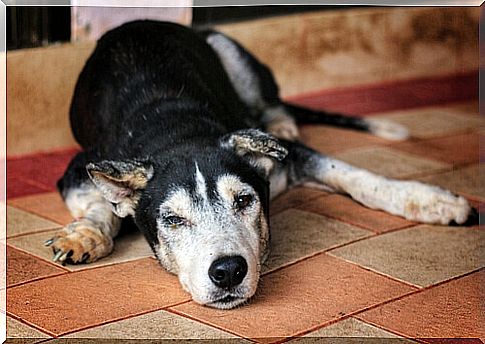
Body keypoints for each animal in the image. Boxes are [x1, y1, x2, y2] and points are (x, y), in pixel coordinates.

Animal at [43, 21, 474, 310]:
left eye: (244, 201)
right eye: (173, 220)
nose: (229, 271)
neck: (176, 128)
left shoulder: (288, 159)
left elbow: (356, 176)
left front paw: (433, 201)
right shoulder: (78, 170)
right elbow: (102, 205)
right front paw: (84, 236)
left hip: (229, 49)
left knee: (273, 105)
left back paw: (280, 122)